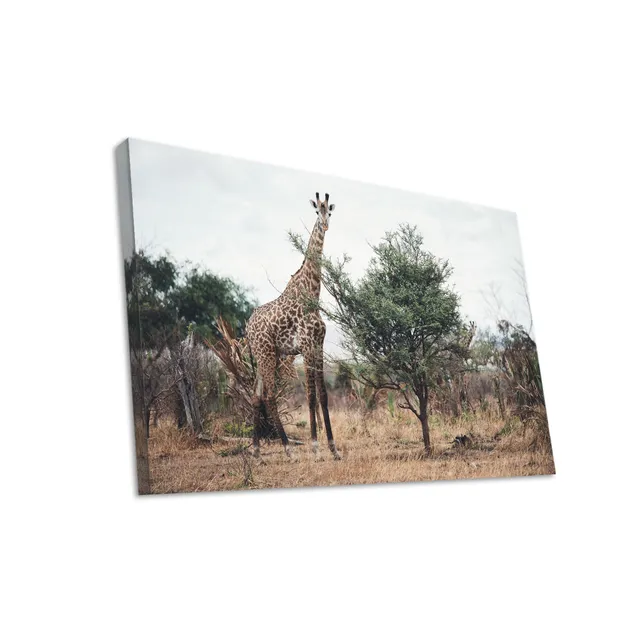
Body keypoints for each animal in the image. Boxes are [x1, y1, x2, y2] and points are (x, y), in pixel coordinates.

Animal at [246, 192, 339, 460]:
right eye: (317, 211)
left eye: (329, 210)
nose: (325, 225)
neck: (312, 293)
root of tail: (247, 327)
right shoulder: (306, 347)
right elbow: (310, 396)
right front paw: (316, 449)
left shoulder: (318, 346)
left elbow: (324, 396)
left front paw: (333, 449)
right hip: (267, 354)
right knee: (268, 396)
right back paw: (288, 449)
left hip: (268, 355)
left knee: (256, 396)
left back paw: (257, 452)